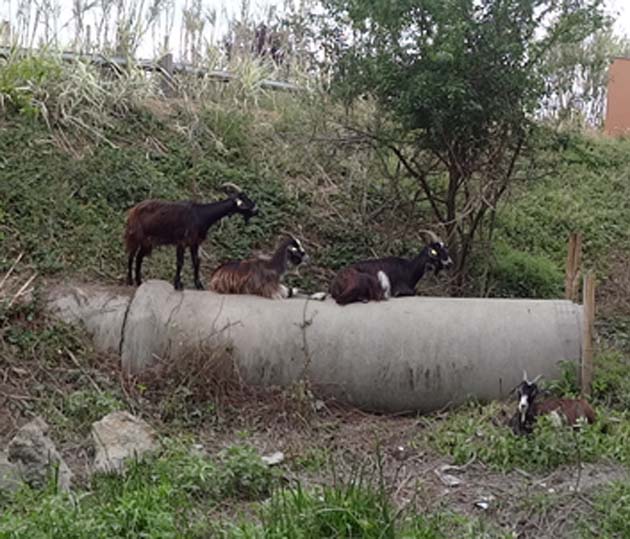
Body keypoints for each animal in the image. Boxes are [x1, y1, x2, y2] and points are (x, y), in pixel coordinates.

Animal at [124, 182, 258, 294]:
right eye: (244, 199)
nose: (256, 210)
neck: (200, 215)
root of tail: (133, 210)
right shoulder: (182, 242)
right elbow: (180, 262)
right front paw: (178, 285)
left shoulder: (195, 243)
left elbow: (196, 262)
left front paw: (199, 286)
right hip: (135, 236)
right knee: (131, 256)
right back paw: (130, 281)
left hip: (147, 242)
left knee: (139, 257)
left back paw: (139, 281)